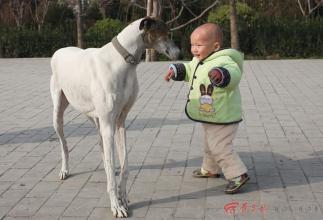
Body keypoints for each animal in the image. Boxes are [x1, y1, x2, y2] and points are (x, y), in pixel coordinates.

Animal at [50, 16, 180, 217]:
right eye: (167, 33)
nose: (179, 54)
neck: (121, 62)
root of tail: (59, 50)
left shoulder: (120, 123)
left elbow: (124, 167)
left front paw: (123, 197)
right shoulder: (109, 125)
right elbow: (111, 173)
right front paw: (116, 206)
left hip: (97, 119)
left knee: (101, 148)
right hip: (59, 114)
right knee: (64, 144)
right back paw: (65, 170)